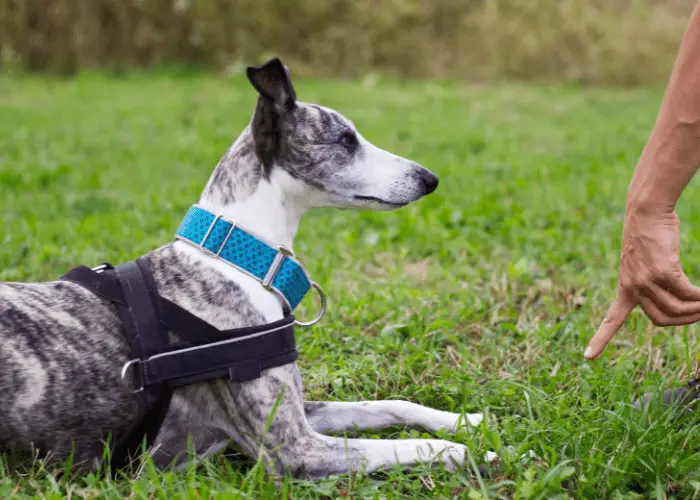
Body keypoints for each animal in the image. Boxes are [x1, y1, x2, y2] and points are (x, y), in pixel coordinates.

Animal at [0, 56, 494, 478]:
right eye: (345, 140)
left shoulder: (300, 412)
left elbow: (389, 405)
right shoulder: (293, 448)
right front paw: (471, 451)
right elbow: (406, 444)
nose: (429, 179)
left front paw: (465, 419)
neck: (239, 260)